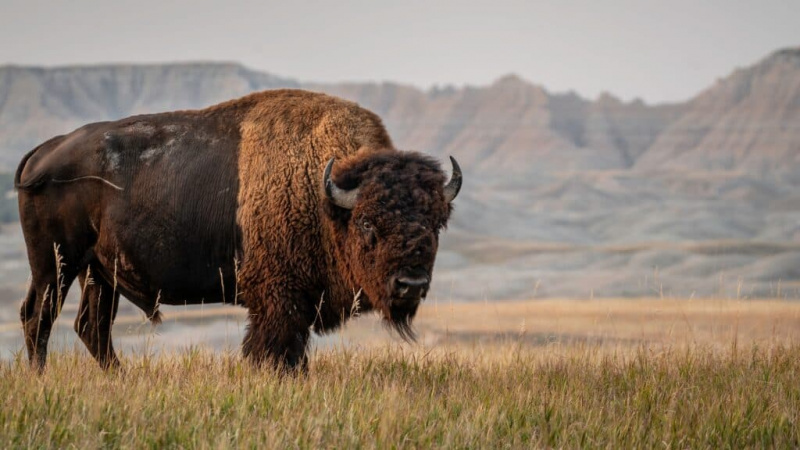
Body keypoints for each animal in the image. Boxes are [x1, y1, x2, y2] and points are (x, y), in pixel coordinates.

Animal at [12, 89, 462, 370]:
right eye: (368, 222)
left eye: (436, 224)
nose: (410, 284)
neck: (323, 193)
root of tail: (44, 151)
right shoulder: (279, 302)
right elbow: (276, 352)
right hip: (55, 264)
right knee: (39, 317)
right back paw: (41, 379)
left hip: (98, 273)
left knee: (92, 327)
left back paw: (120, 379)